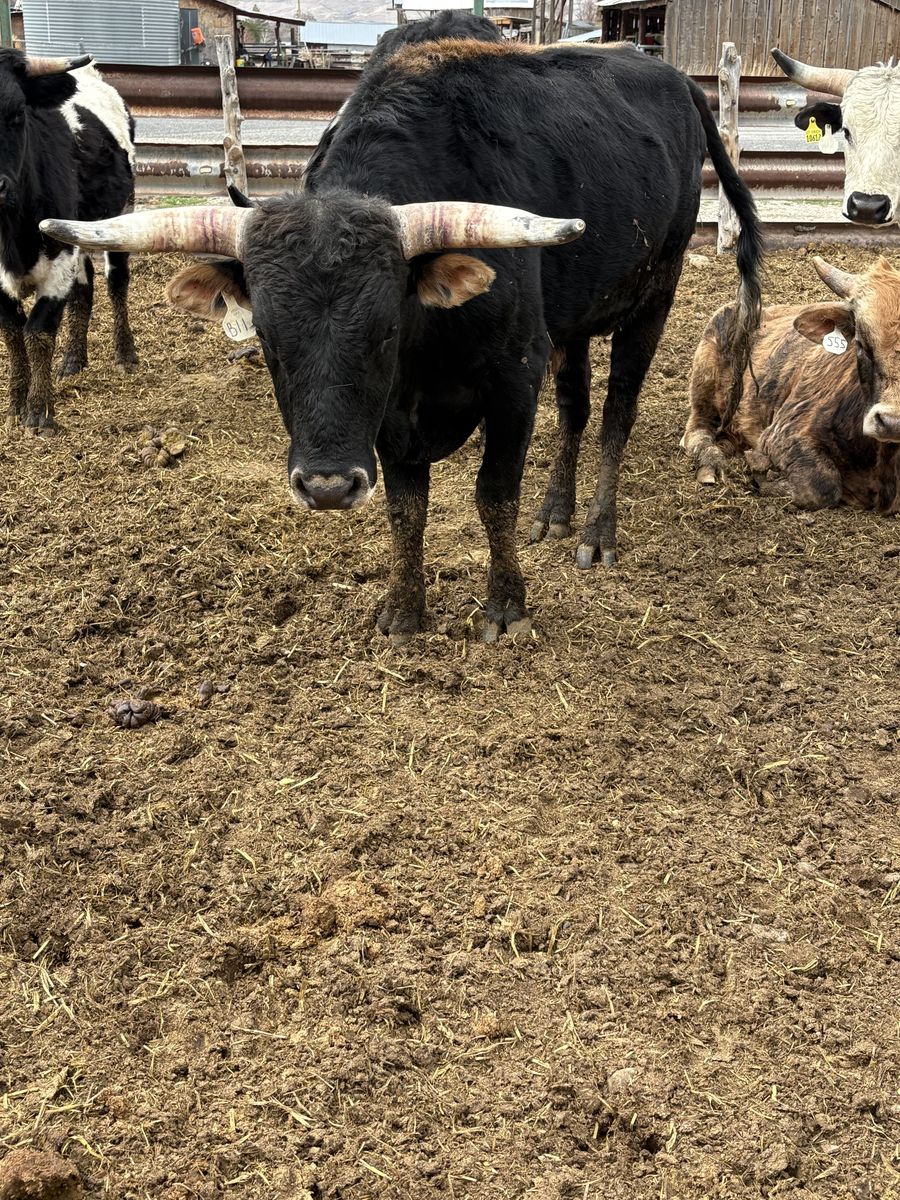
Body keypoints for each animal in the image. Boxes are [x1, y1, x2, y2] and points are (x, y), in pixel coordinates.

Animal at [0, 49, 137, 432]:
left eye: (17, 113)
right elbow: (12, 333)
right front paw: (16, 403)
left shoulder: (57, 261)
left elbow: (37, 331)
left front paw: (38, 411)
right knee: (83, 291)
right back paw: (74, 359)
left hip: (118, 219)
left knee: (116, 283)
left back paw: (125, 354)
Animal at [40, 40, 762, 641]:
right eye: (267, 337)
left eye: (387, 325)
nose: (327, 487)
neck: (424, 358)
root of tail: (671, 75)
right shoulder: (392, 418)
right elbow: (405, 507)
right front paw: (404, 608)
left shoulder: (514, 379)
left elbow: (493, 495)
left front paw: (506, 606)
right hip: (574, 322)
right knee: (576, 410)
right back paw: (555, 513)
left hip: (653, 296)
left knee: (615, 416)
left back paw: (595, 532)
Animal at [683, 255, 900, 513]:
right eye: (861, 342)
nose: (892, 423)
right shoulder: (783, 435)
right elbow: (823, 485)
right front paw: (762, 471)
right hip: (705, 392)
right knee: (698, 431)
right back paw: (712, 461)